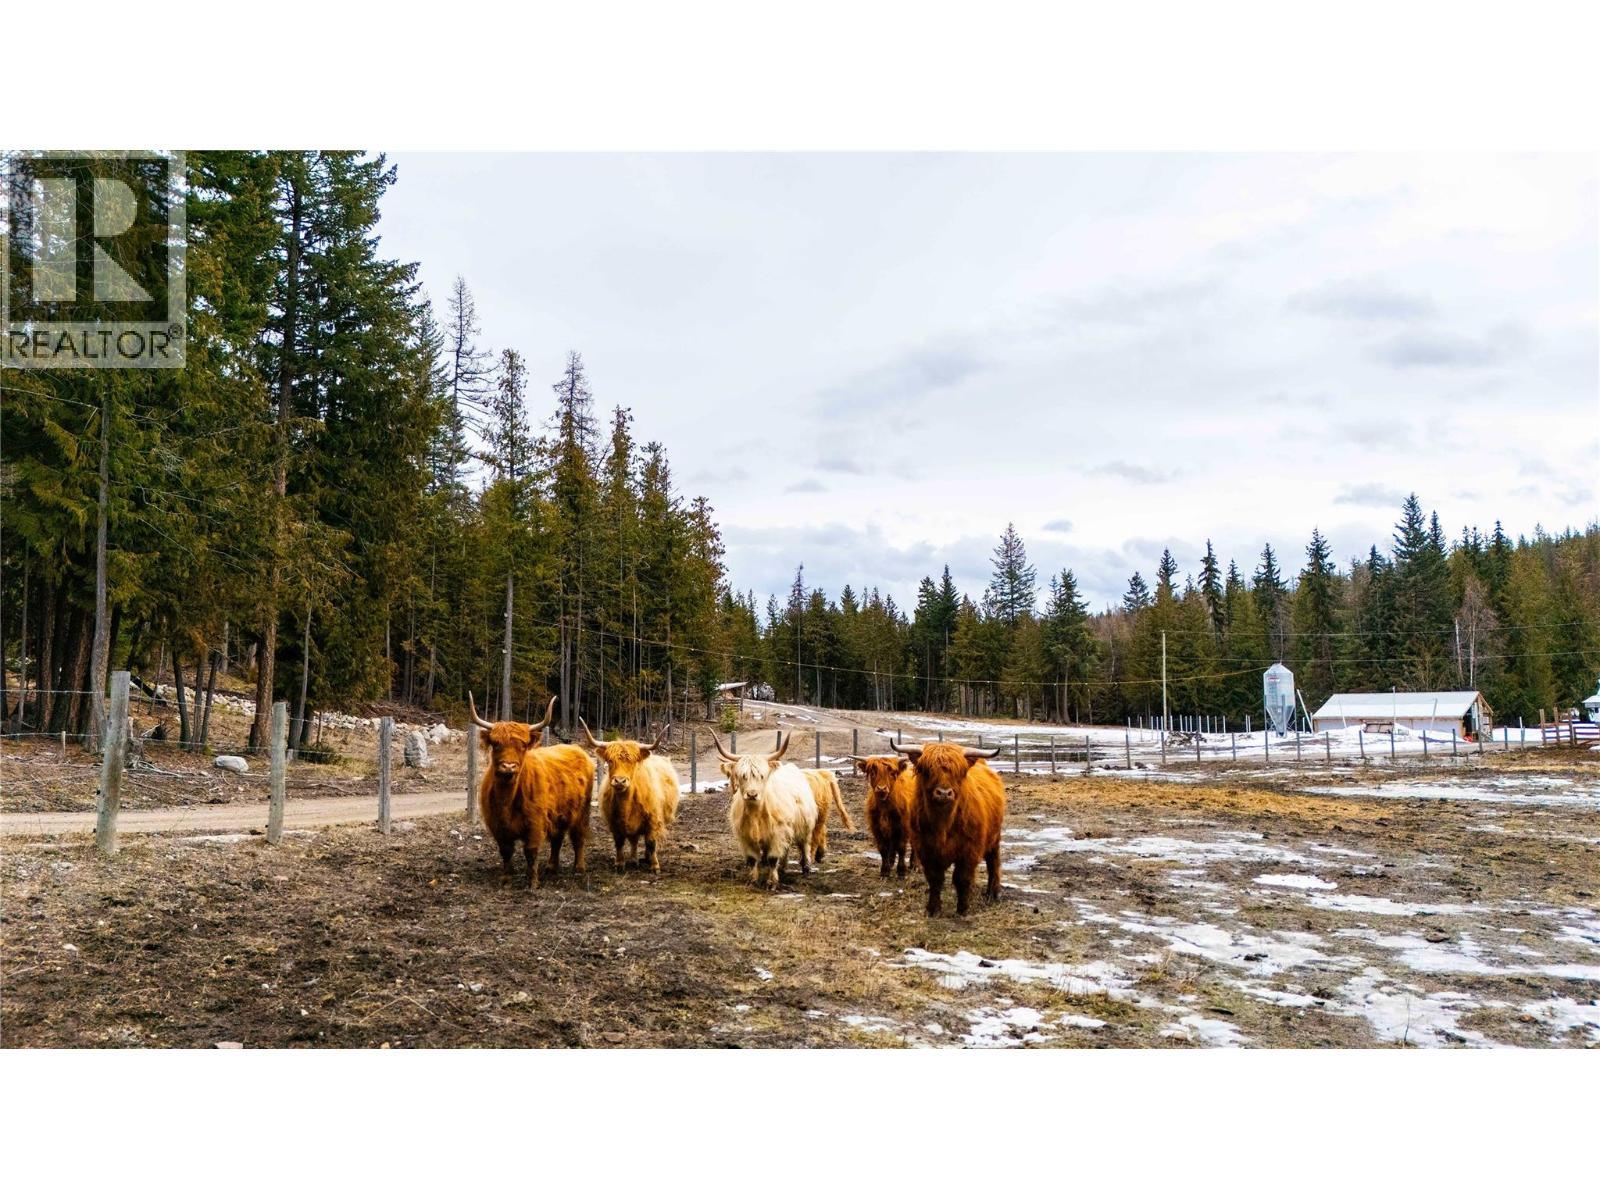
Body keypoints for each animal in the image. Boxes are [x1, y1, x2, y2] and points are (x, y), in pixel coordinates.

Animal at [469, 693, 595, 888]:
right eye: (496, 744)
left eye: (522, 746)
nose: (508, 766)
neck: (507, 800)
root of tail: (576, 748)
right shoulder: (497, 825)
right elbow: (506, 851)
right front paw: (506, 879)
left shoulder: (535, 822)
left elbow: (531, 851)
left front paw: (532, 882)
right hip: (558, 814)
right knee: (557, 839)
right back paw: (551, 867)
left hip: (582, 811)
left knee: (578, 836)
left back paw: (579, 868)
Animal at [576, 718, 681, 873]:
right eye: (610, 761)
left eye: (632, 762)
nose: (620, 781)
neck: (626, 804)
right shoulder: (614, 823)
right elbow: (620, 842)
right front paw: (620, 864)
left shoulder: (653, 820)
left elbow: (651, 842)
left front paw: (655, 866)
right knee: (634, 840)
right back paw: (633, 859)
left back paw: (647, 858)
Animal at [712, 731, 818, 890]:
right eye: (742, 775)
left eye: (762, 776)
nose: (752, 794)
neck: (756, 813)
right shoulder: (745, 836)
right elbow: (752, 859)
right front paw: (753, 880)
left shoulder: (778, 833)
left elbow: (773, 858)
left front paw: (771, 883)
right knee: (785, 849)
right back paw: (783, 868)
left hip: (805, 826)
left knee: (804, 845)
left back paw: (806, 869)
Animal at [891, 739, 1005, 917]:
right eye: (927, 770)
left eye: (959, 772)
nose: (944, 793)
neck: (943, 824)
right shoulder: (926, 849)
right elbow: (935, 879)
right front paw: (933, 909)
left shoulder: (969, 850)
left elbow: (962, 878)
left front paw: (962, 908)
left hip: (994, 838)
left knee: (993, 862)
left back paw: (992, 893)